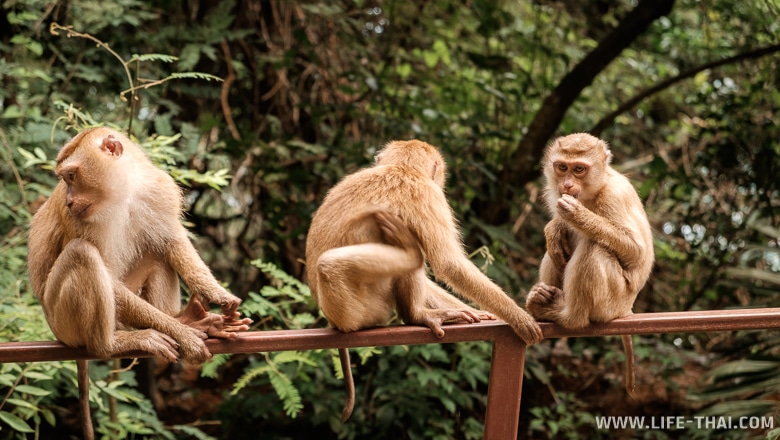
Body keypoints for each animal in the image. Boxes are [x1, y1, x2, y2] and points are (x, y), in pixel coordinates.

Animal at [27, 125, 251, 438]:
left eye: (71, 176)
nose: (70, 200)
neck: (123, 192)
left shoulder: (160, 188)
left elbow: (171, 241)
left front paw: (216, 293)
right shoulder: (77, 219)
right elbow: (107, 275)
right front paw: (184, 336)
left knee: (156, 253)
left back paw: (187, 319)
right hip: (63, 322)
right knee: (82, 254)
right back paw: (111, 344)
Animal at [304, 139, 544, 422]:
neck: (400, 169)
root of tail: (333, 319)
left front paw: (479, 312)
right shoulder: (428, 194)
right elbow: (449, 263)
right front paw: (519, 318)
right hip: (360, 307)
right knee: (336, 265)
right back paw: (415, 313)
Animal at [528, 132, 656, 398]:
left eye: (579, 169)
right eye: (562, 167)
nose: (566, 185)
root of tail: (626, 309)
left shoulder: (615, 196)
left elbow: (637, 252)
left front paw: (578, 216)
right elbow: (558, 232)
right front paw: (554, 228)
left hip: (612, 302)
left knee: (594, 247)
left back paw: (568, 316)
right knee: (557, 252)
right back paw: (541, 299)